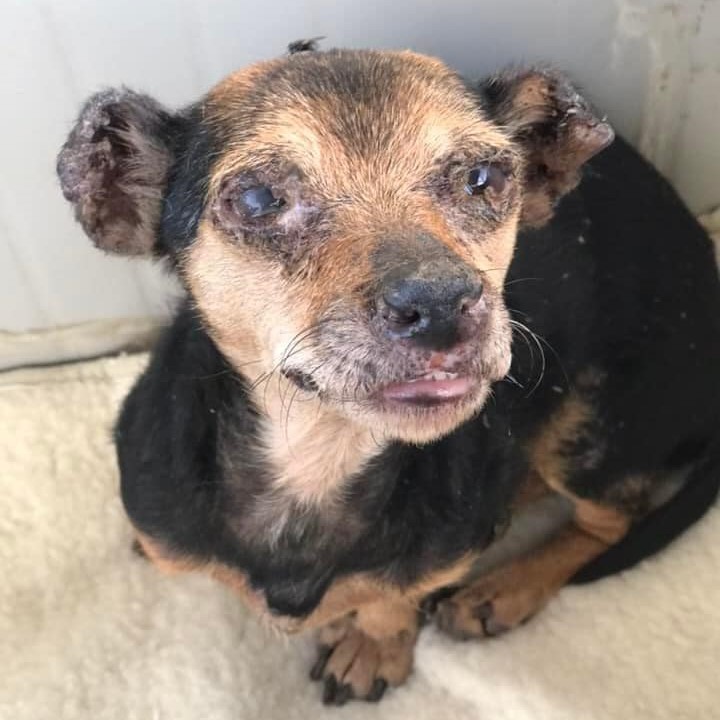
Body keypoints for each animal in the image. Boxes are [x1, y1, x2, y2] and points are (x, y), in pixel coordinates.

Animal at [57, 42, 720, 705]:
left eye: (484, 179)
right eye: (257, 200)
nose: (444, 305)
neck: (318, 458)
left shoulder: (441, 551)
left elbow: (394, 594)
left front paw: (374, 642)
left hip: (589, 429)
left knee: (611, 518)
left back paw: (502, 589)